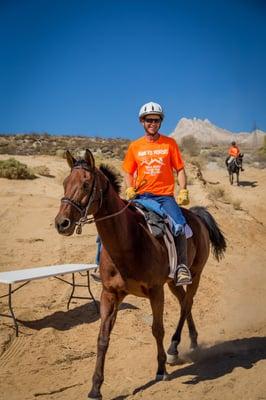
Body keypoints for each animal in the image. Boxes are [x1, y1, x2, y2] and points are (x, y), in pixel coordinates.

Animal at [55, 150, 225, 400]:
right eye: (65, 183)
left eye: (85, 184)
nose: (62, 223)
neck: (127, 242)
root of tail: (196, 215)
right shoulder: (110, 294)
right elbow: (102, 338)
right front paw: (96, 387)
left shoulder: (155, 291)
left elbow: (157, 329)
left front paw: (161, 369)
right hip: (173, 282)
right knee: (185, 302)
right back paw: (192, 341)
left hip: (195, 274)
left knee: (187, 304)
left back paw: (174, 347)